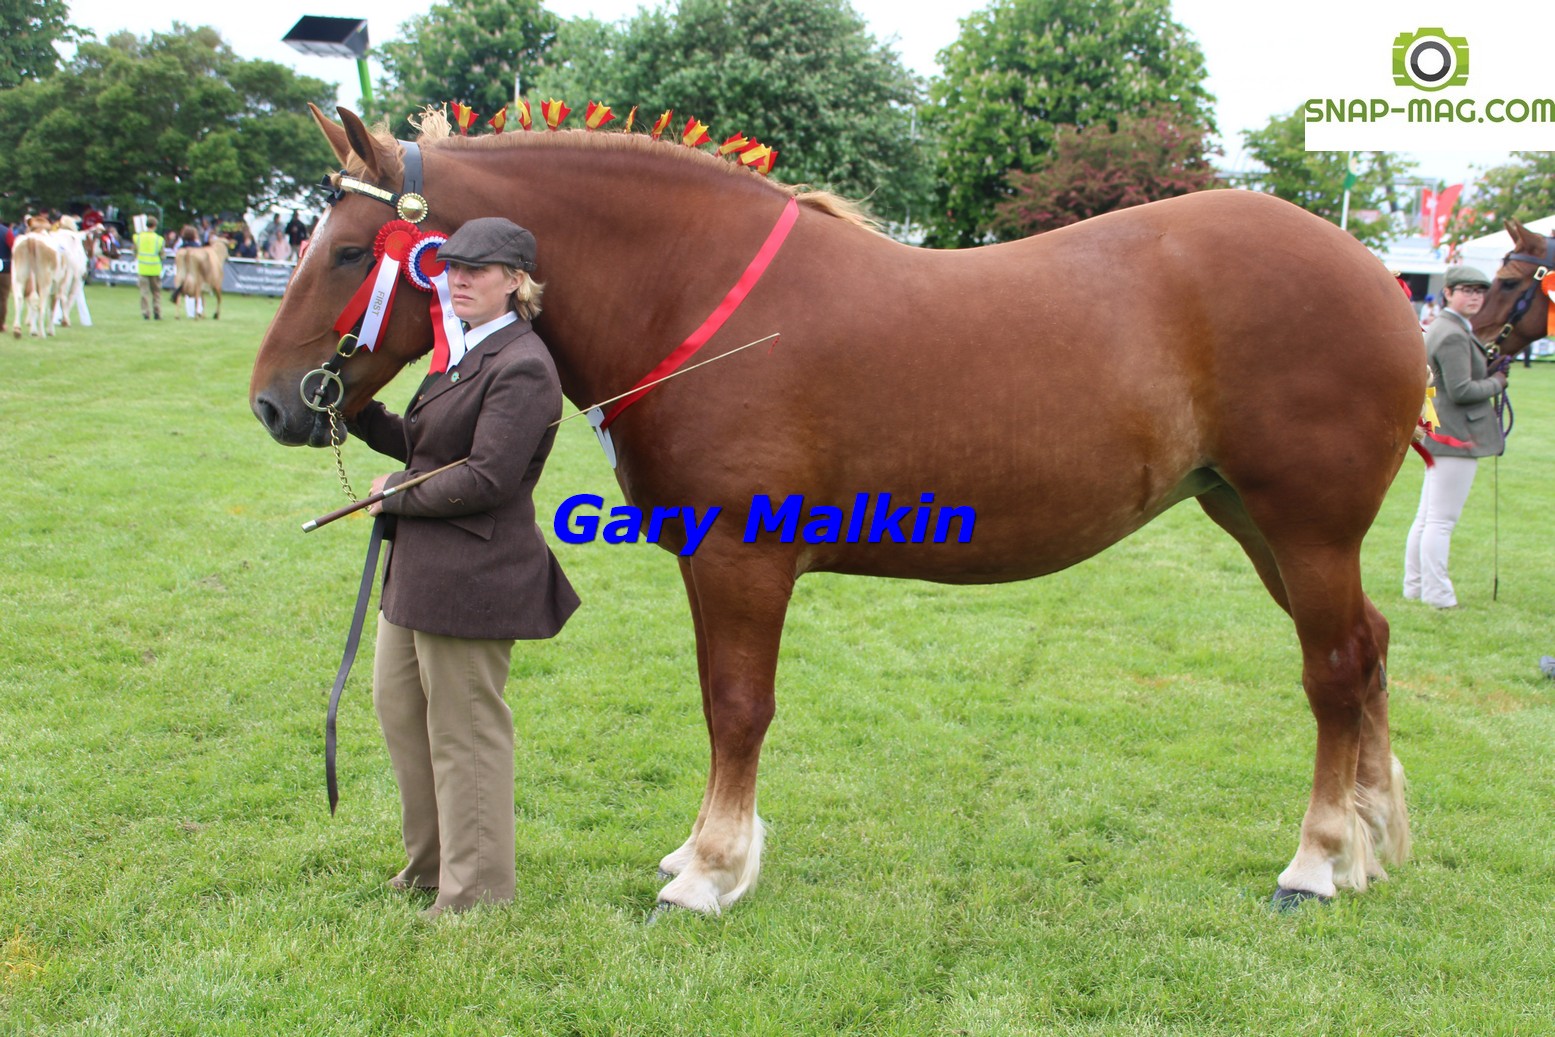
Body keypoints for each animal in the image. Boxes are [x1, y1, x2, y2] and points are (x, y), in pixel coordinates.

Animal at [251, 106, 1426, 914]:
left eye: (350, 251)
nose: (273, 402)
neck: (701, 299)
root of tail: (1376, 275)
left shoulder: (743, 558)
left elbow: (737, 705)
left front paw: (710, 871)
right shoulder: (706, 560)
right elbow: (714, 699)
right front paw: (702, 850)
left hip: (1307, 526)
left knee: (1332, 671)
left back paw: (1316, 860)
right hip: (1253, 519)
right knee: (1367, 649)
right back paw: (1372, 840)